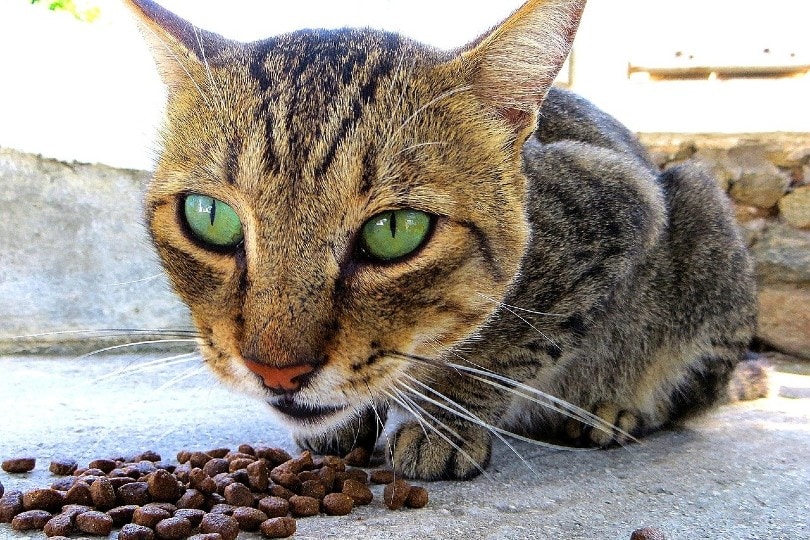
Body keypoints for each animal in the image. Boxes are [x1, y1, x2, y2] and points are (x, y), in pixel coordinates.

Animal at [123, 0, 756, 480]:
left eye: (395, 231)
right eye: (210, 217)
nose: (276, 372)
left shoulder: (622, 210)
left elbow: (500, 350)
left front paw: (442, 426)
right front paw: (353, 421)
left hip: (700, 213)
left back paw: (613, 408)